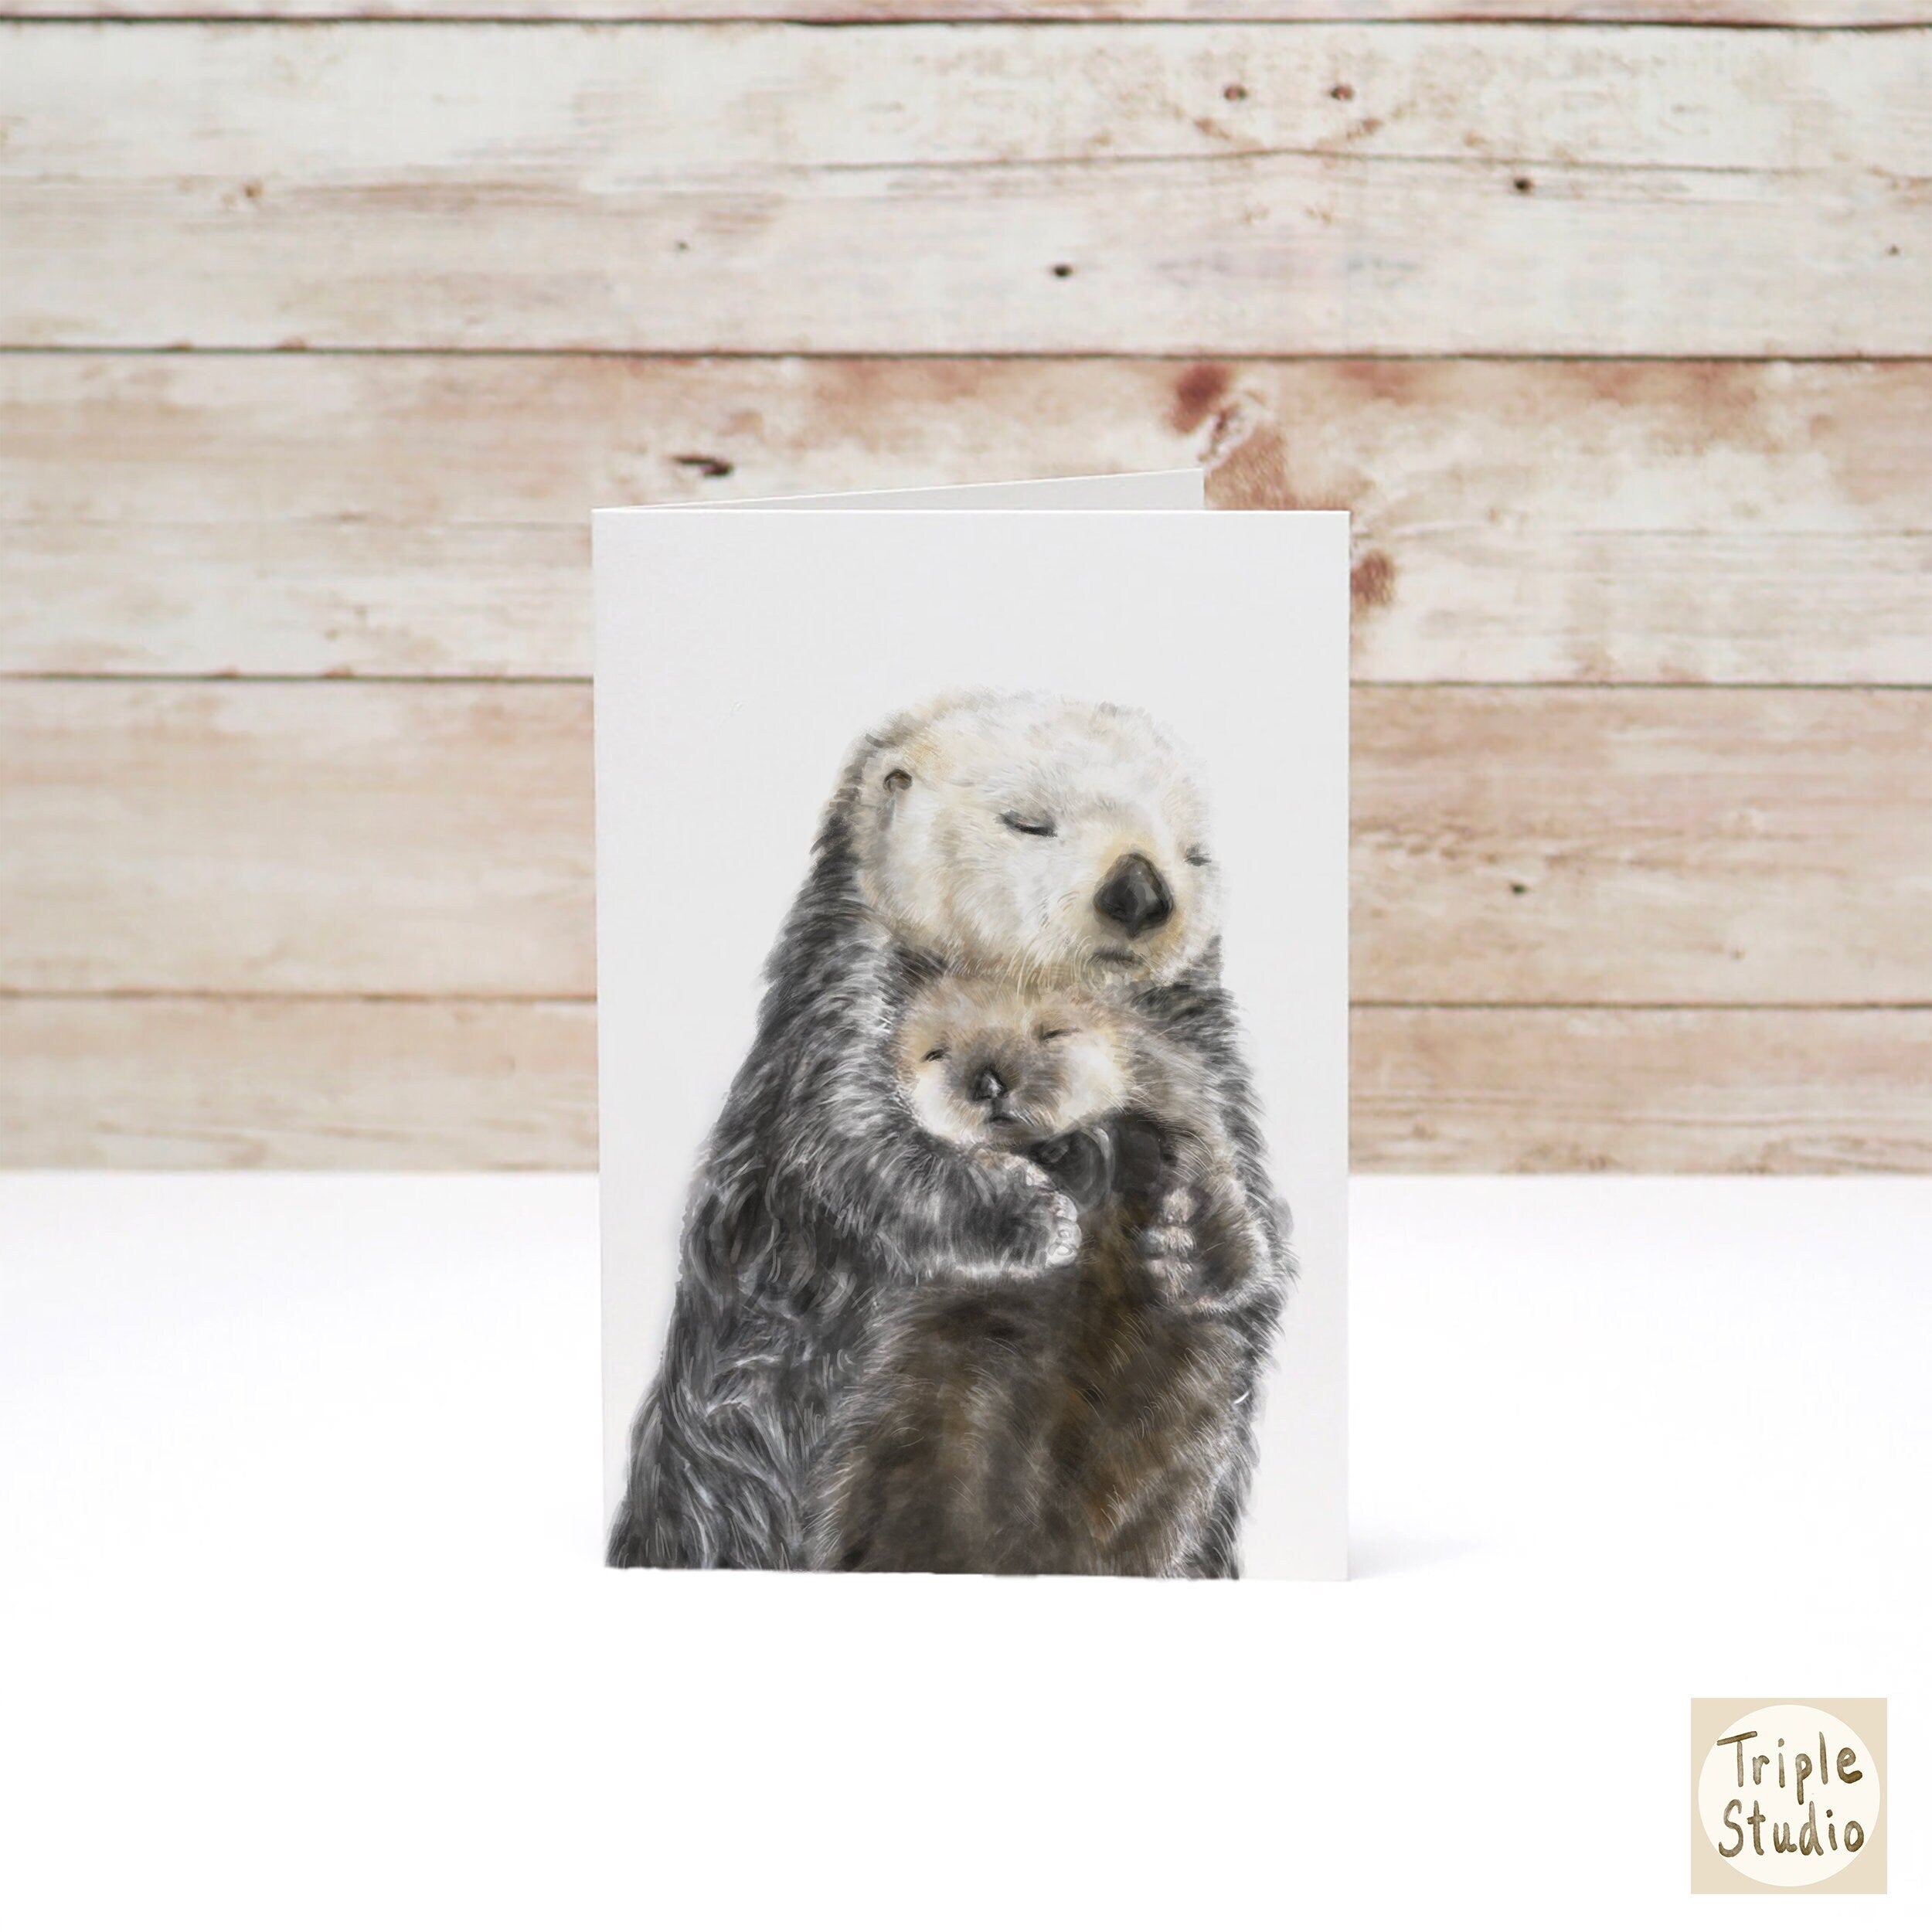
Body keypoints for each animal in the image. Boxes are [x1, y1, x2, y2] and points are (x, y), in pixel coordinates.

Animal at [808, 977, 1276, 1577]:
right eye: (937, 1052)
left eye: (1053, 1031)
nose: (987, 1081)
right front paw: (1040, 1217)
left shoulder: (1192, 1118)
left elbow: (1233, 1225)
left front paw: (1182, 1249)